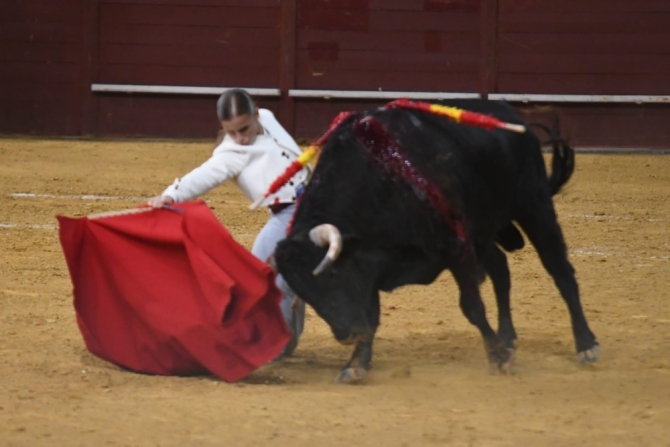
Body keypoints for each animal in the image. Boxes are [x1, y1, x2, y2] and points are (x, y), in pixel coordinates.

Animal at [276, 100, 600, 384]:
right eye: (303, 292)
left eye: (331, 274)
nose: (347, 335)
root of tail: (511, 114)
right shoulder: (372, 267)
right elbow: (372, 314)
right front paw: (356, 364)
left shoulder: (455, 248)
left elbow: (471, 306)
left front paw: (498, 358)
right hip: (482, 232)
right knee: (501, 270)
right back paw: (508, 337)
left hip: (534, 206)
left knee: (560, 271)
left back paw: (585, 344)